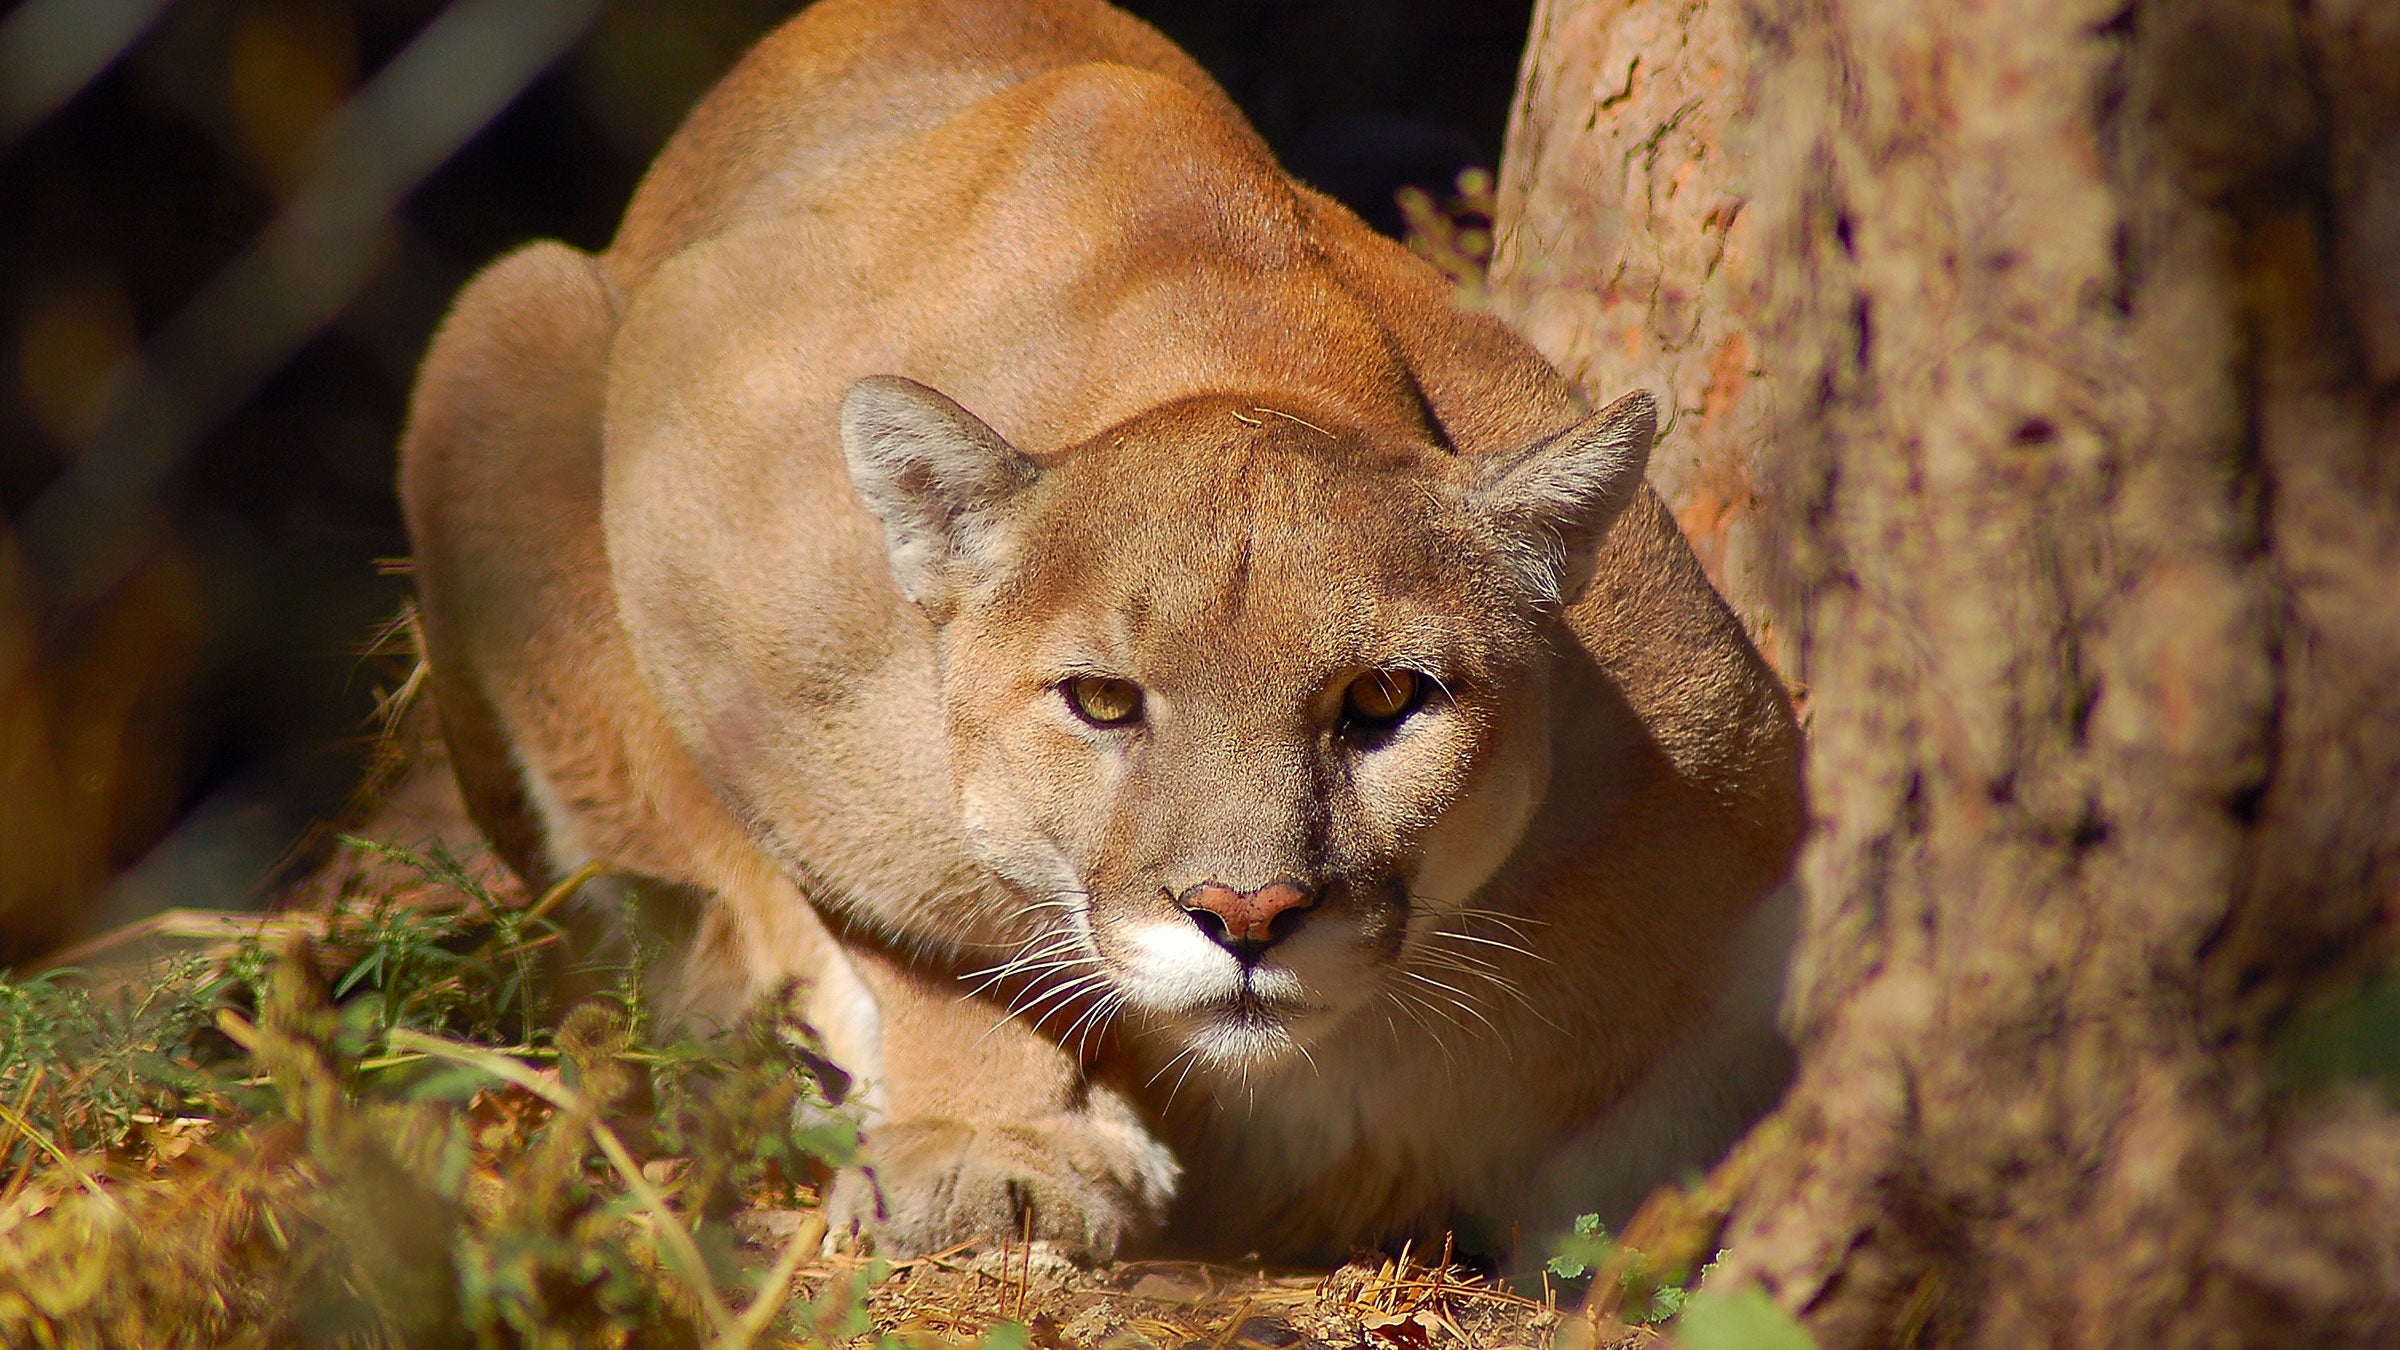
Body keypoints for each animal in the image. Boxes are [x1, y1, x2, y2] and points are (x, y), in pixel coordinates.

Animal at [403, 0, 1804, 1258]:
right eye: (1103, 703)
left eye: (1383, 702)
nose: (1247, 913)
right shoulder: (711, 554)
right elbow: (921, 924)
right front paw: (995, 1149)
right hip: (509, 324)